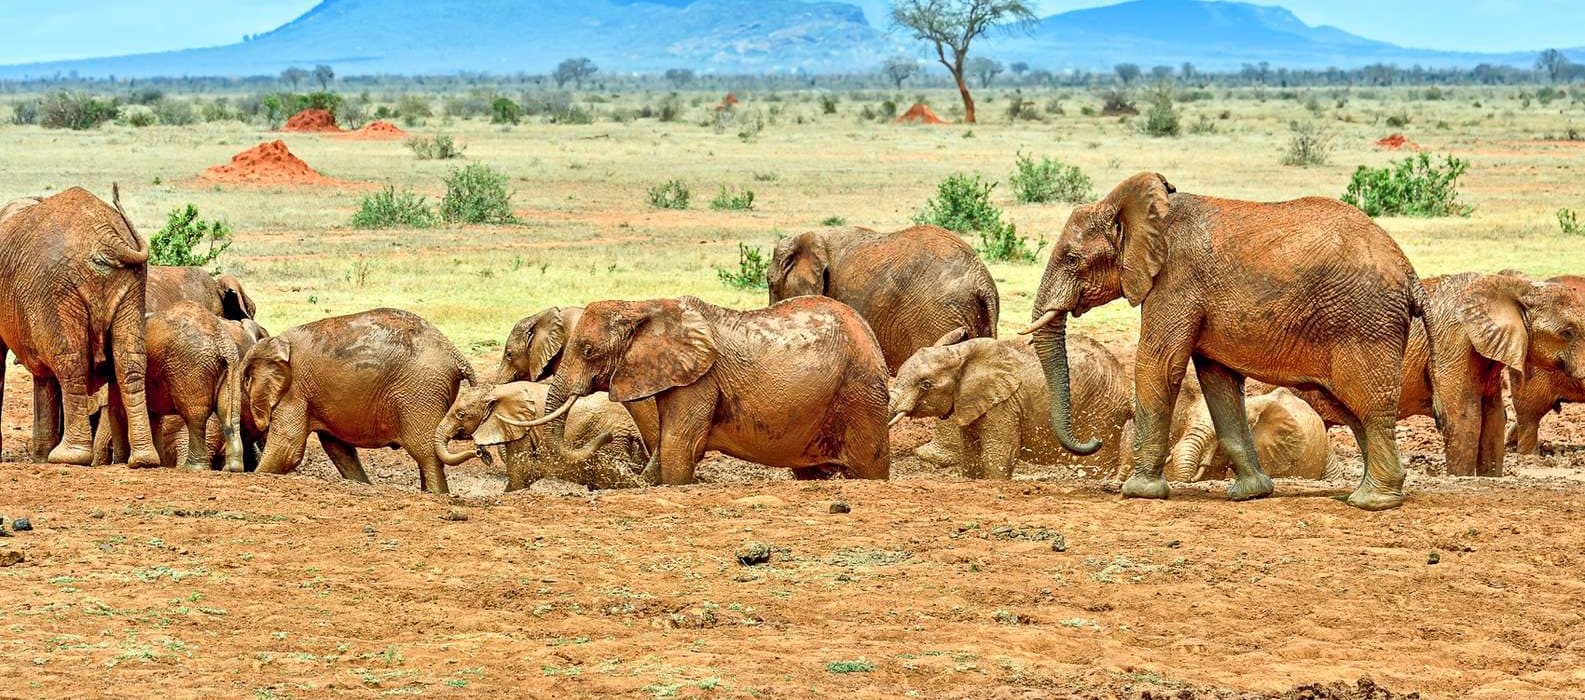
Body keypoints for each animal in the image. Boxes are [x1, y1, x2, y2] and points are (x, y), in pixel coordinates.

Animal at [0, 186, 161, 467]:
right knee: (130, 362)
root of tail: (105, 236)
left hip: (57, 288)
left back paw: (69, 456)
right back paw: (144, 460)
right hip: (132, 284)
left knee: (71, 363)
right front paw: (40, 458)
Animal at [242, 308, 478, 494]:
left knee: (425, 450)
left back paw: (437, 495)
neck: (273, 342)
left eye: (245, 382)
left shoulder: (295, 389)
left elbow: (288, 448)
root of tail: (456, 354)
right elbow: (339, 449)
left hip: (420, 391)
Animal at [439, 381, 649, 491]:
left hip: (611, 440)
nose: (481, 453)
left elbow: (519, 470)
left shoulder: (520, 427)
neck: (494, 391)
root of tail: (632, 428)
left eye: (461, 415)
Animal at [534, 295, 891, 485]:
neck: (642, 306)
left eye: (588, 350)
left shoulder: (699, 381)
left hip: (860, 393)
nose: (607, 436)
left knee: (870, 467)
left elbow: (679, 445)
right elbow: (667, 444)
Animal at [888, 333, 1130, 479]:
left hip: (1102, 412)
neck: (961, 353)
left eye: (926, 384)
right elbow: (971, 455)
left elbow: (1000, 453)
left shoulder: (1004, 405)